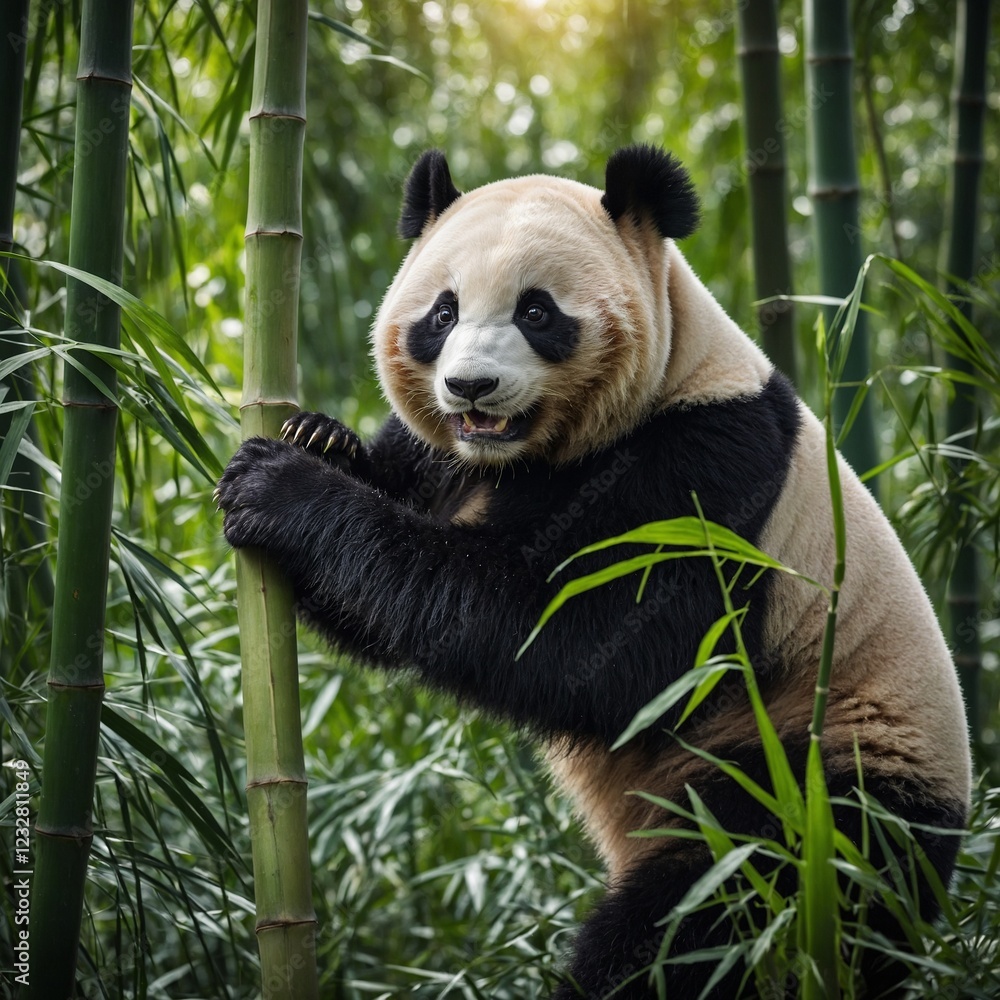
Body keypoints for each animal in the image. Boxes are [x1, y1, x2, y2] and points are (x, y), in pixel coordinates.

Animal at [217, 145, 971, 998]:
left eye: (536, 312)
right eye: (442, 313)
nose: (470, 387)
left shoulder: (708, 465)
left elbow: (587, 644)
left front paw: (283, 488)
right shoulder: (450, 456)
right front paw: (317, 439)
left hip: (817, 779)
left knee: (705, 925)